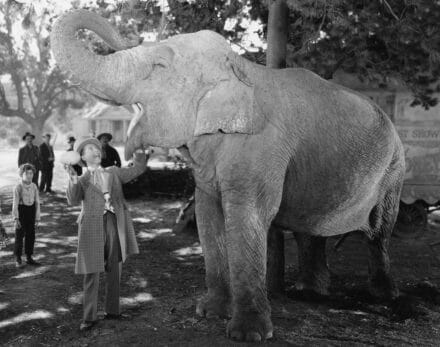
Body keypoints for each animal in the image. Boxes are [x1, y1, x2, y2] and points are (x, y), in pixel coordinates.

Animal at [50, 9, 406, 344]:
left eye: (159, 65)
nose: (131, 149)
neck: (240, 67)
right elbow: (208, 215)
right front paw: (209, 312)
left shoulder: (262, 147)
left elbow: (248, 216)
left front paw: (248, 334)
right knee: (311, 227)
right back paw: (310, 290)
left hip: (394, 170)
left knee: (378, 231)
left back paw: (384, 297)